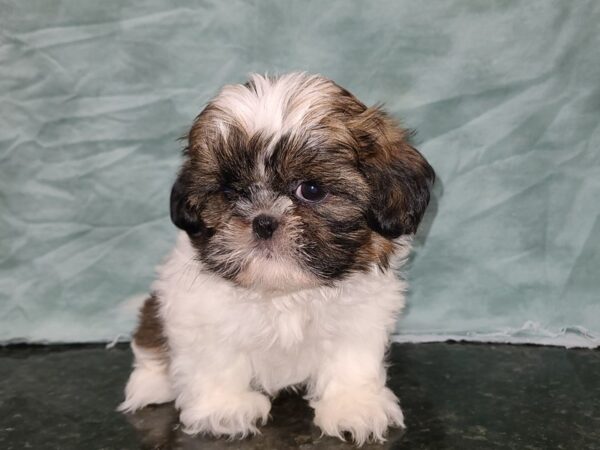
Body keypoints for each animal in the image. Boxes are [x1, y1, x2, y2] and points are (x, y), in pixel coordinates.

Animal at [119, 72, 434, 444]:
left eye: (311, 190)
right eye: (230, 192)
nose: (264, 221)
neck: (283, 292)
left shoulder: (361, 315)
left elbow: (351, 360)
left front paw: (354, 406)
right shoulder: (197, 311)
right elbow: (216, 359)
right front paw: (224, 408)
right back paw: (151, 384)